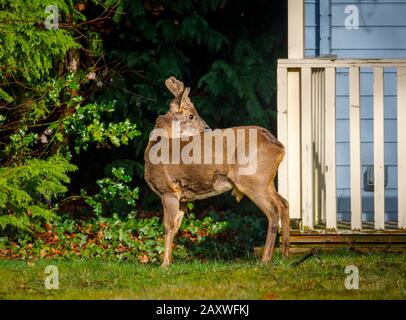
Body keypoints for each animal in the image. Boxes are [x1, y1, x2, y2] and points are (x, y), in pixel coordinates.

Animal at [144, 76, 288, 266]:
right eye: (191, 115)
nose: (207, 128)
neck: (156, 146)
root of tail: (279, 146)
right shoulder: (182, 197)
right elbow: (176, 227)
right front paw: (169, 262)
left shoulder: (168, 189)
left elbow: (168, 226)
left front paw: (164, 264)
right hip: (266, 180)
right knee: (284, 203)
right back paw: (285, 255)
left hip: (253, 179)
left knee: (273, 211)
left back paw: (265, 259)